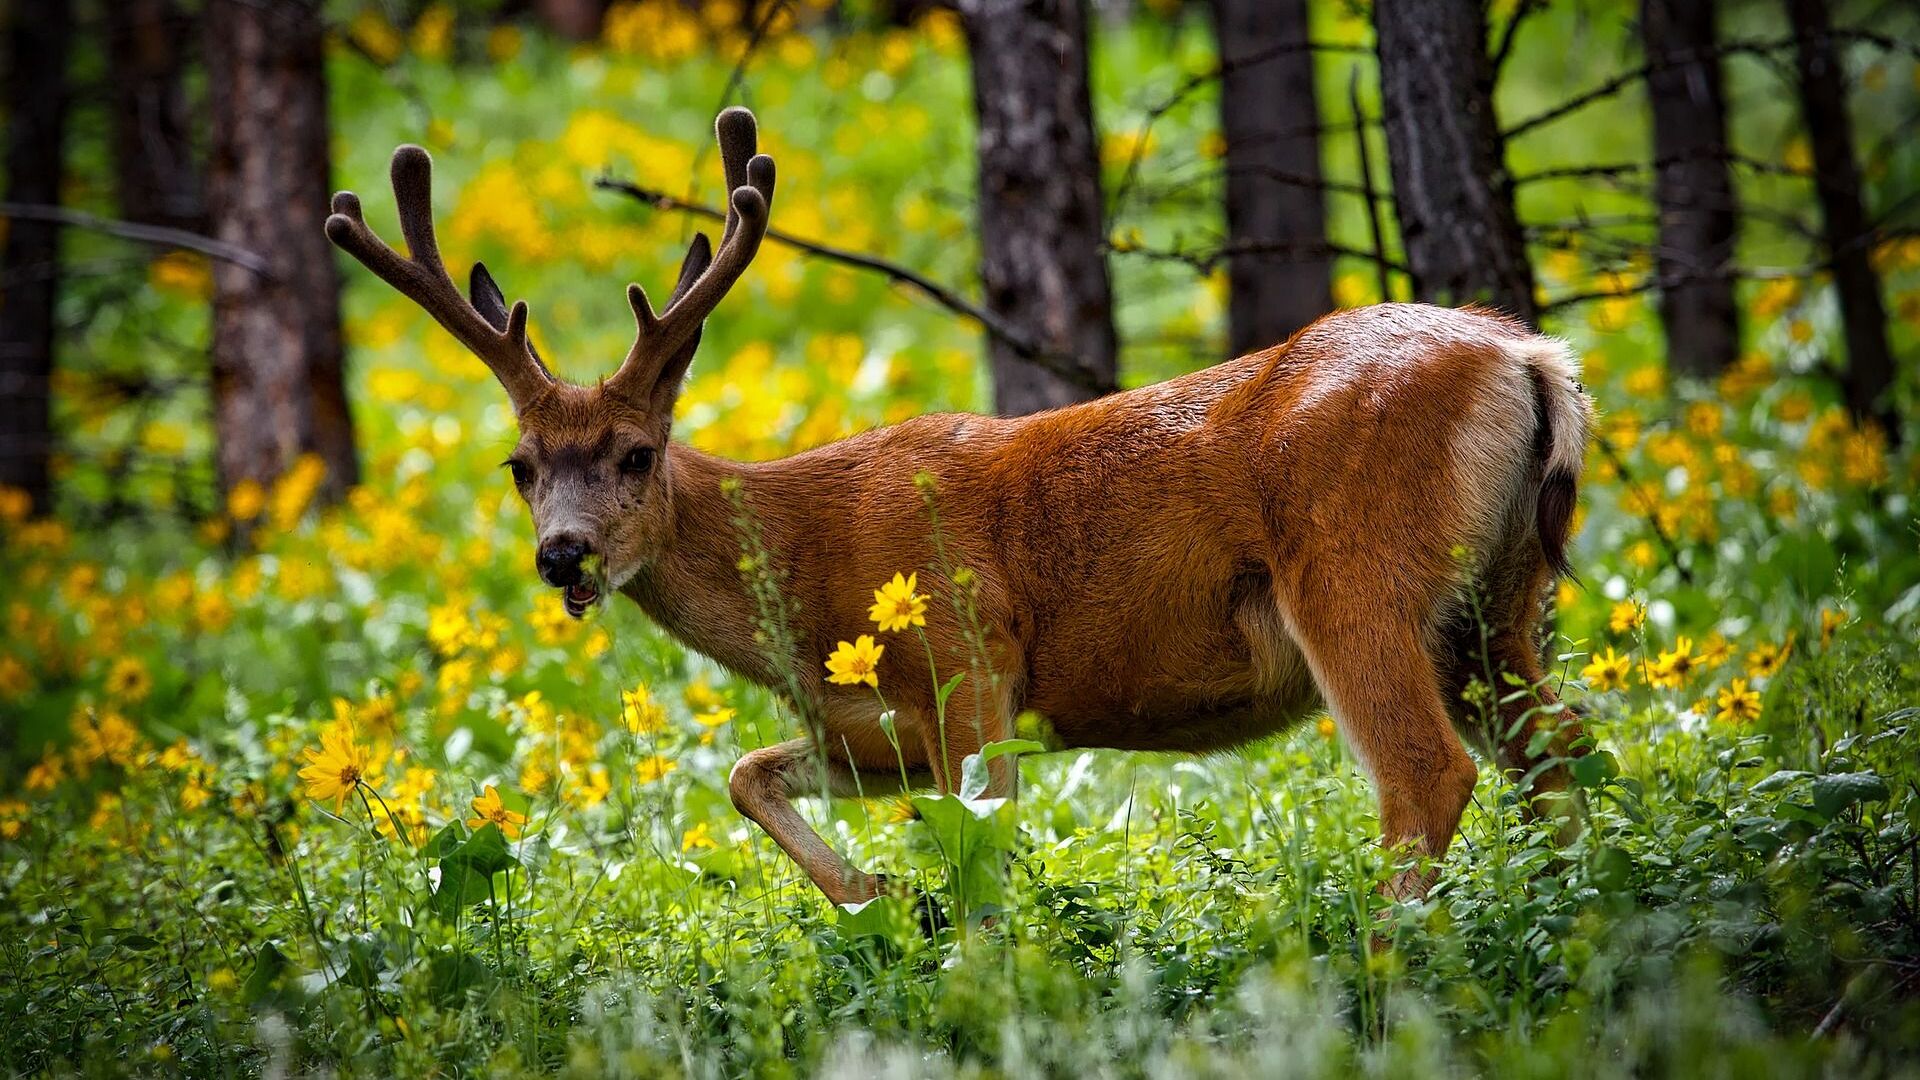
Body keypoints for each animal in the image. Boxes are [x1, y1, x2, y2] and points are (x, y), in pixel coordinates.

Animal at [326, 107, 1589, 899]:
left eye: (636, 454)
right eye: (519, 465)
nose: (566, 556)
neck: (804, 574)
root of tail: (1532, 358)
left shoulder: (971, 666)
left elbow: (985, 870)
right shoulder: (873, 729)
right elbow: (745, 774)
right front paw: (877, 892)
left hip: (1353, 573)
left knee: (1430, 775)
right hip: (1498, 600)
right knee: (1559, 750)